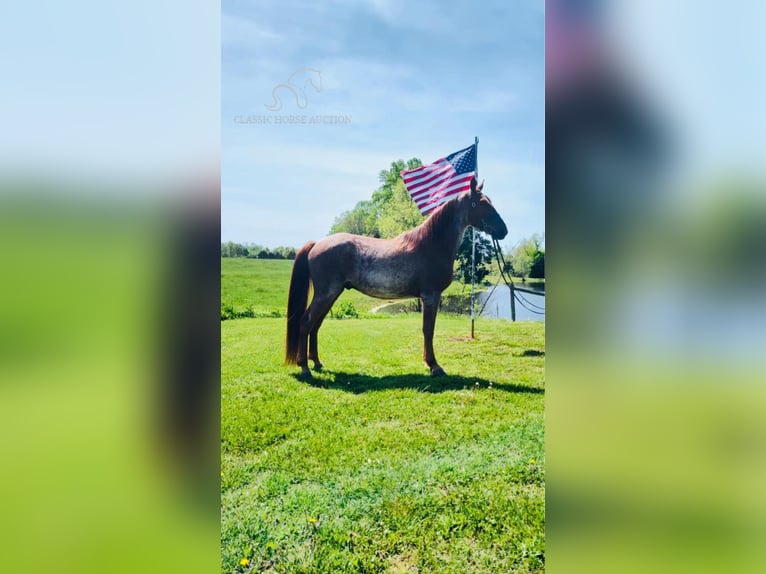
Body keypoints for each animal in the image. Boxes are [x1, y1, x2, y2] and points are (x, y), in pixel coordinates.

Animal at [284, 178, 508, 380]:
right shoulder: (430, 296)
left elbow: (428, 330)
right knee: (306, 322)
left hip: (332, 294)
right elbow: (428, 330)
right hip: (326, 294)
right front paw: (434, 366)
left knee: (315, 325)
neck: (432, 244)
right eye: (481, 203)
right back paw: (305, 368)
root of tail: (317, 243)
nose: (503, 231)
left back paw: (317, 363)